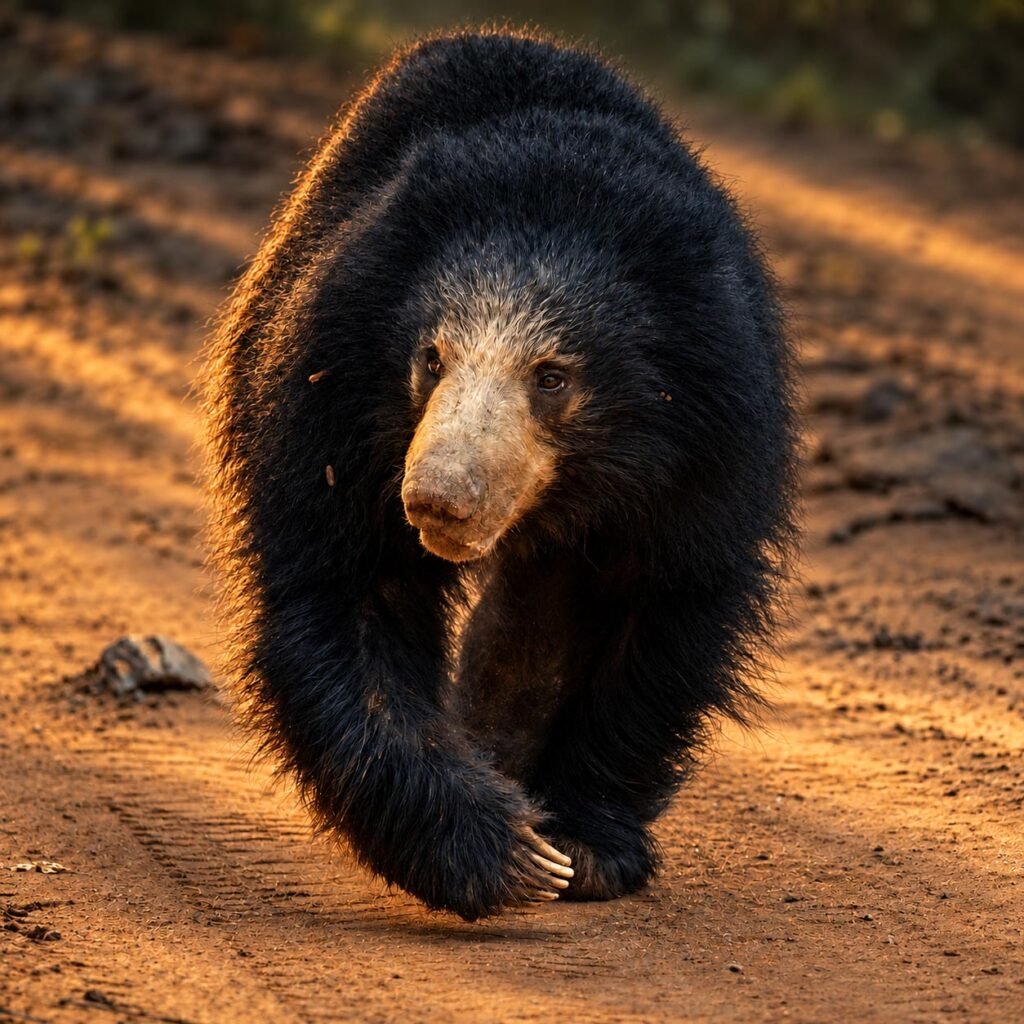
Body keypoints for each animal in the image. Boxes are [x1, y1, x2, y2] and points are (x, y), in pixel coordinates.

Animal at [202, 29, 798, 922]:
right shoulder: (327, 395)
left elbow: (660, 614)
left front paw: (581, 846)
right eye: (431, 358)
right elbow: (349, 595)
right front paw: (503, 853)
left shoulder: (709, 446)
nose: (437, 500)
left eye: (551, 378)